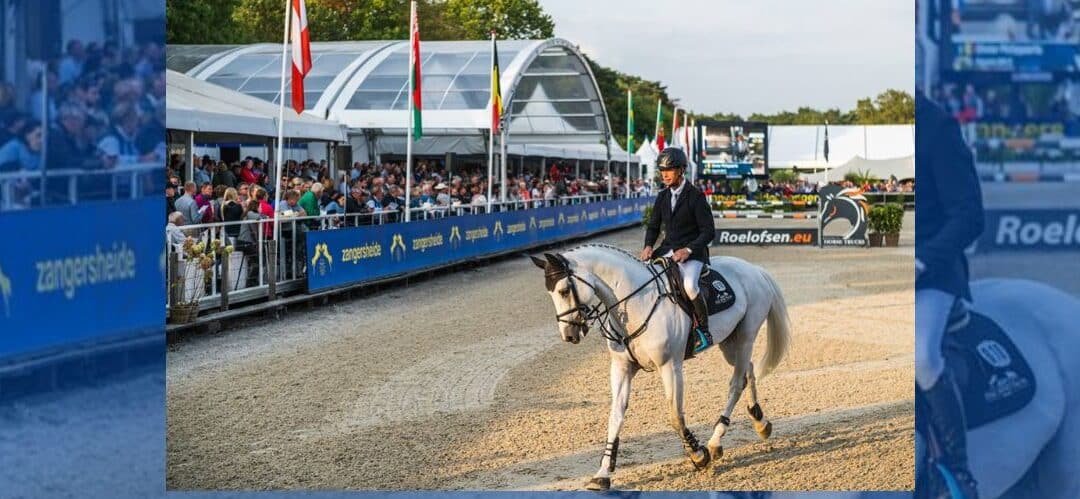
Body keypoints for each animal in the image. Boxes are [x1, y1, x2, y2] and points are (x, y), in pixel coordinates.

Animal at [530, 244, 792, 490]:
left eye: (564, 291)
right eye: (551, 293)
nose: (569, 335)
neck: (635, 303)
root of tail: (754, 269)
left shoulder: (670, 366)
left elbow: (675, 416)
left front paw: (698, 455)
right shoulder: (622, 368)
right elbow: (615, 417)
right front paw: (602, 474)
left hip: (746, 337)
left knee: (736, 383)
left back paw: (715, 441)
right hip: (729, 342)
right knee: (748, 371)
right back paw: (760, 421)